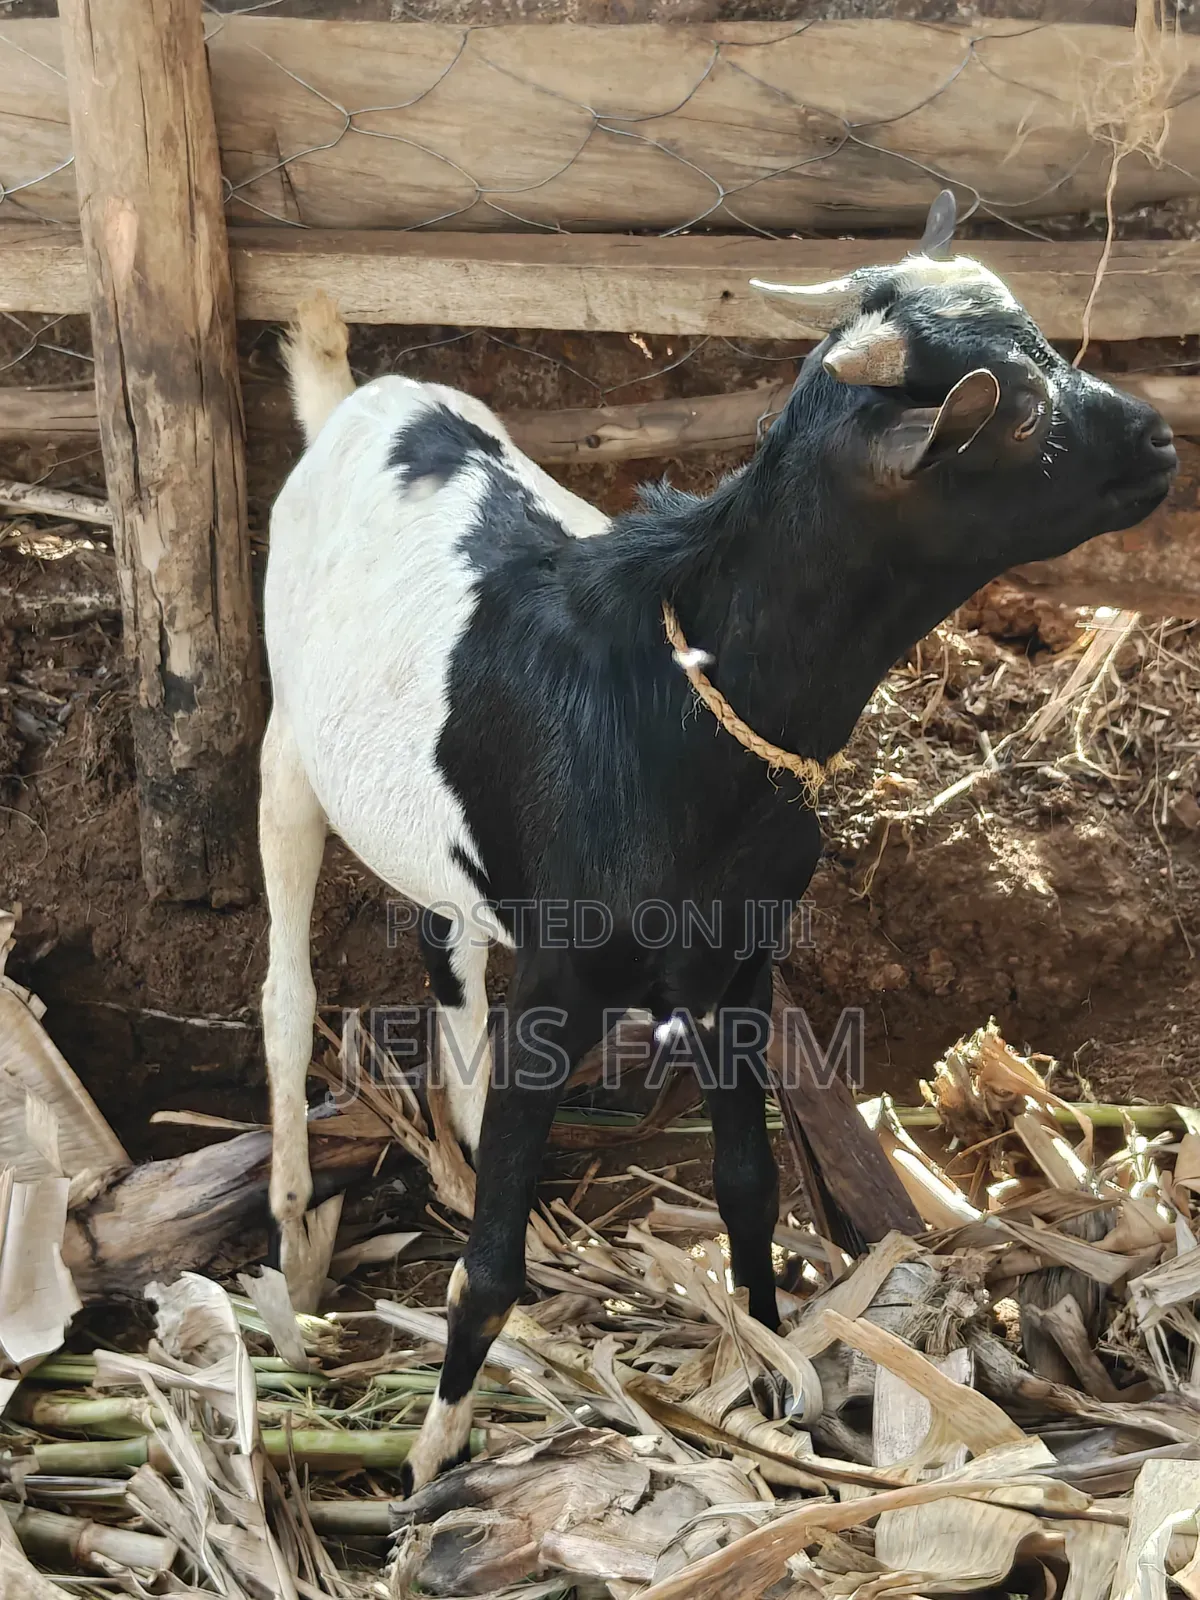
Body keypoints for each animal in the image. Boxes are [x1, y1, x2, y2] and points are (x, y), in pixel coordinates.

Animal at [260, 201, 1176, 1493]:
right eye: (1028, 415)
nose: (1158, 437)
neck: (687, 706)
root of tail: (358, 396)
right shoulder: (566, 979)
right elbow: (486, 1266)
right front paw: (434, 1456)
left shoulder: (740, 964)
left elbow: (748, 1184)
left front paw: (782, 1385)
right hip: (289, 753)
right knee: (287, 997)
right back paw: (295, 1259)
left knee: (449, 961)